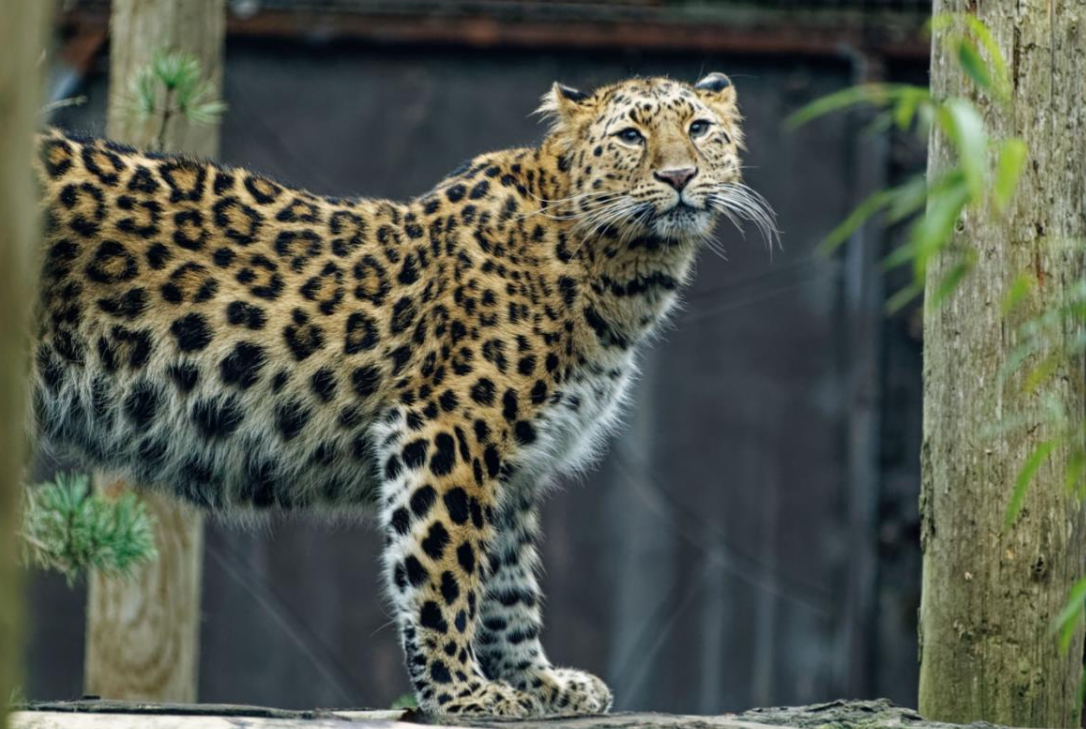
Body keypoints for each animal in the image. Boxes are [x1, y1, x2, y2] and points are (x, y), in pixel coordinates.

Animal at [28, 73, 775, 717]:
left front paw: (540, 683)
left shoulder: (516, 466)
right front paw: (460, 693)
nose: (677, 176)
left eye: (699, 128)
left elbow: (510, 586)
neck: (623, 272)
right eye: (629, 136)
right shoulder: (447, 430)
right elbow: (446, 570)